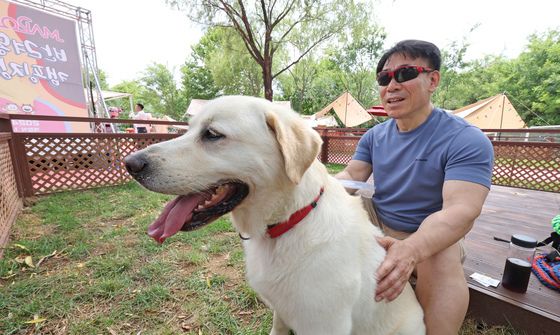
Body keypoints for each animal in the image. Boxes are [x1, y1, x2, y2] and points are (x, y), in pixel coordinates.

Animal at [126, 96, 424, 334]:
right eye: (188, 130)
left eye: (212, 134)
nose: (130, 163)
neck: (288, 222)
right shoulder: (281, 310)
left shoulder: (324, 325)